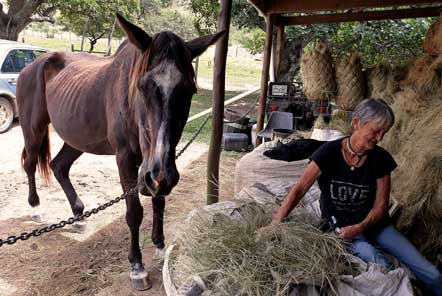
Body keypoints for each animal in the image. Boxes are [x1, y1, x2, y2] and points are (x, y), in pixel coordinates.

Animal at [16, 13, 224, 290]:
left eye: (189, 90)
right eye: (142, 86)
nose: (160, 174)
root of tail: (31, 65)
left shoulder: (158, 168)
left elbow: (159, 201)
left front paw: (159, 246)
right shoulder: (127, 160)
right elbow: (134, 212)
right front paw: (137, 266)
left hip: (78, 138)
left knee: (59, 166)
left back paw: (79, 215)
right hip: (33, 129)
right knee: (30, 165)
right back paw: (36, 208)